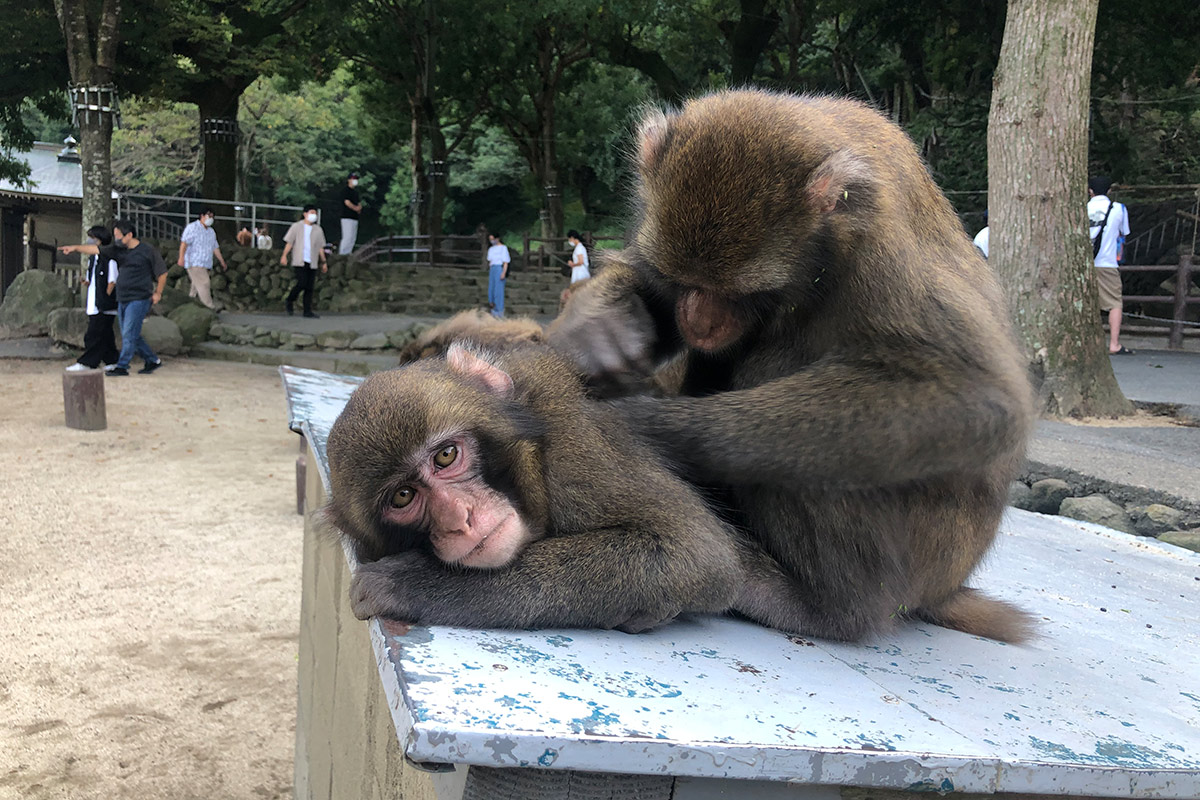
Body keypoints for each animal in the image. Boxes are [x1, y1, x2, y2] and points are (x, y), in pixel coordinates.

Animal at [324, 345, 744, 633]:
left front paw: (412, 582)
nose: (460, 518)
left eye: (445, 456)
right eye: (403, 497)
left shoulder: (575, 453)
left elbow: (694, 552)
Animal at [549, 89, 1036, 642]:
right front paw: (601, 327)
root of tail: (945, 587)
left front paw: (648, 426)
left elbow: (979, 398)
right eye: (685, 281)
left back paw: (827, 606)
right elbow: (646, 289)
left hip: (924, 556)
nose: (700, 320)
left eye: (739, 293)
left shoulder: (879, 250)